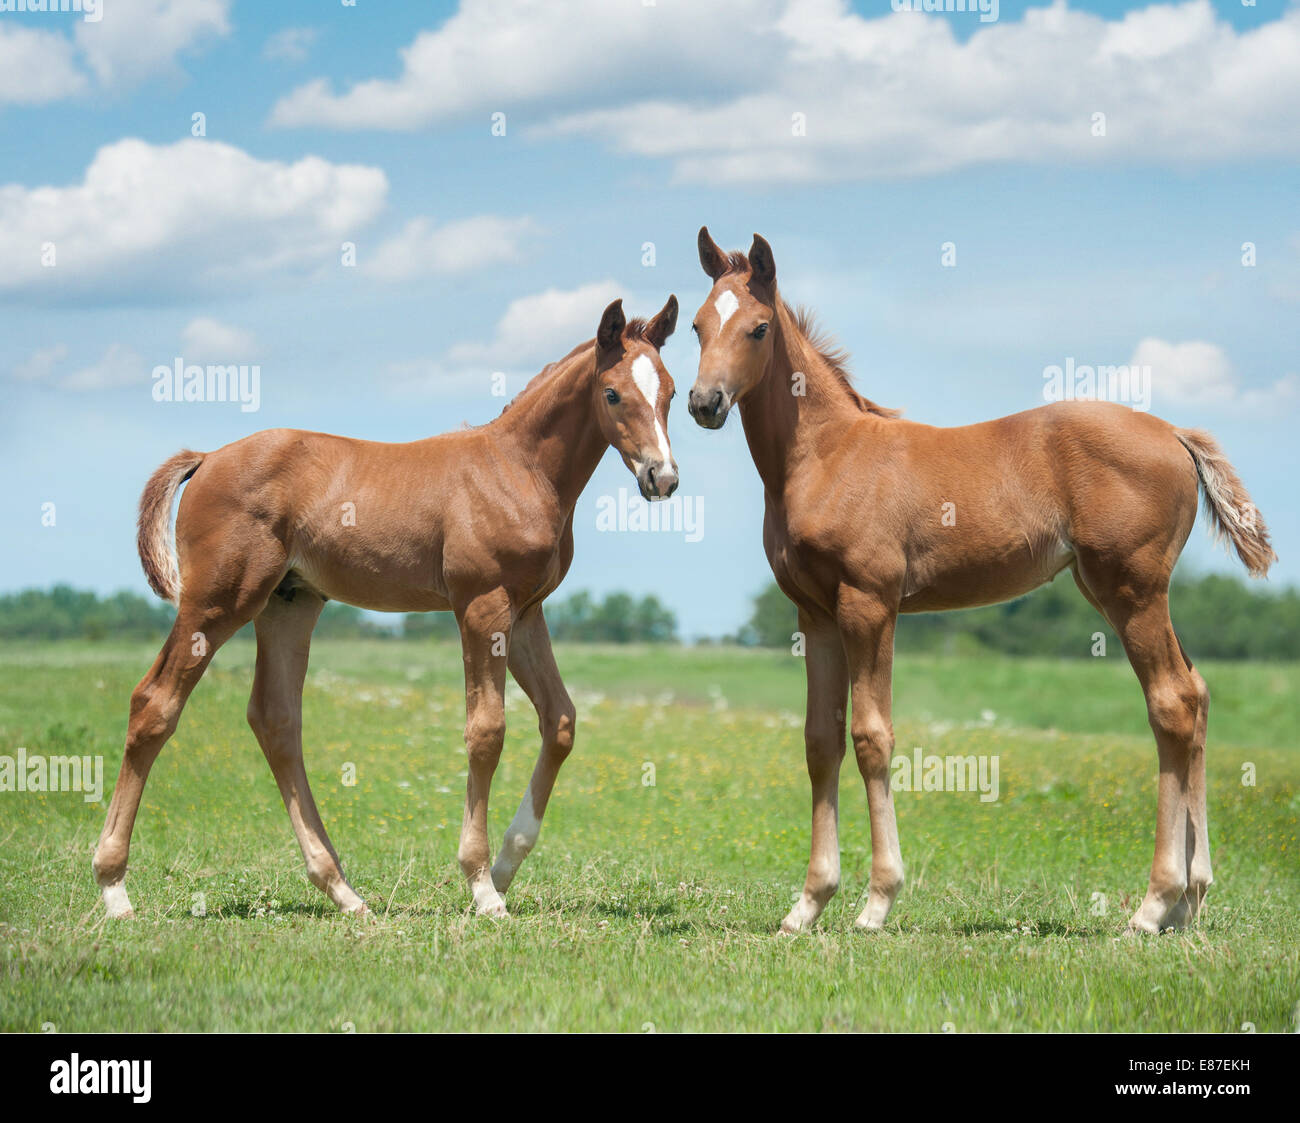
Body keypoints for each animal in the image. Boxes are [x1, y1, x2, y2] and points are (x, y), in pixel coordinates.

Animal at [92, 296, 681, 920]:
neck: (518, 469)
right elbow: (487, 731)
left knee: (276, 719)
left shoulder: (525, 613)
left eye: (670, 390)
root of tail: (204, 459)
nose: (662, 477)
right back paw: (114, 888)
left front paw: (505, 867)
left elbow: (560, 721)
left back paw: (342, 890)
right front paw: (481, 886)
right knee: (155, 704)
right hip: (216, 602)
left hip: (288, 605)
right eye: (613, 393)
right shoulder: (481, 607)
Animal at [686, 228, 1274, 941]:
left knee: (1173, 703)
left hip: (1132, 588)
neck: (826, 457)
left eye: (759, 327)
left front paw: (877, 901)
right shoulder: (815, 613)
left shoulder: (870, 604)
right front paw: (808, 904)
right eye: (696, 326)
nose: (704, 404)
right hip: (1116, 589)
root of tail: (1175, 435)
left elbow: (872, 738)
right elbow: (820, 741)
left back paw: (1155, 903)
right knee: (1198, 691)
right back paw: (1192, 897)